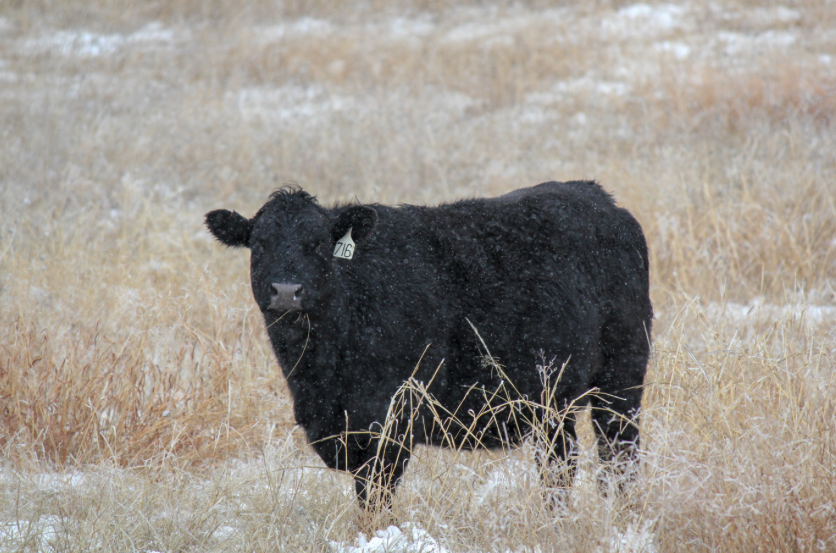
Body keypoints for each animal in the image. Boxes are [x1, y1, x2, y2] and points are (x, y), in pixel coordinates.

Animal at [205, 181, 652, 510]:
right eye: (259, 244)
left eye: (316, 244)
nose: (286, 291)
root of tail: (600, 197)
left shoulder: (390, 422)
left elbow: (375, 502)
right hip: (553, 400)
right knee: (561, 462)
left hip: (622, 377)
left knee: (618, 455)